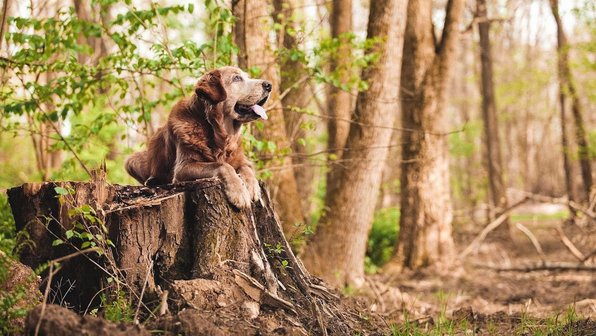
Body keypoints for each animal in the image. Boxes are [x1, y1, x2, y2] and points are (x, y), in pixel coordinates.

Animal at [128, 66, 272, 209]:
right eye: (237, 78)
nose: (269, 85)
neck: (219, 134)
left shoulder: (241, 159)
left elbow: (247, 169)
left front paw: (252, 187)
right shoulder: (183, 168)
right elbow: (222, 165)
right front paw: (239, 192)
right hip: (132, 160)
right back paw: (152, 180)